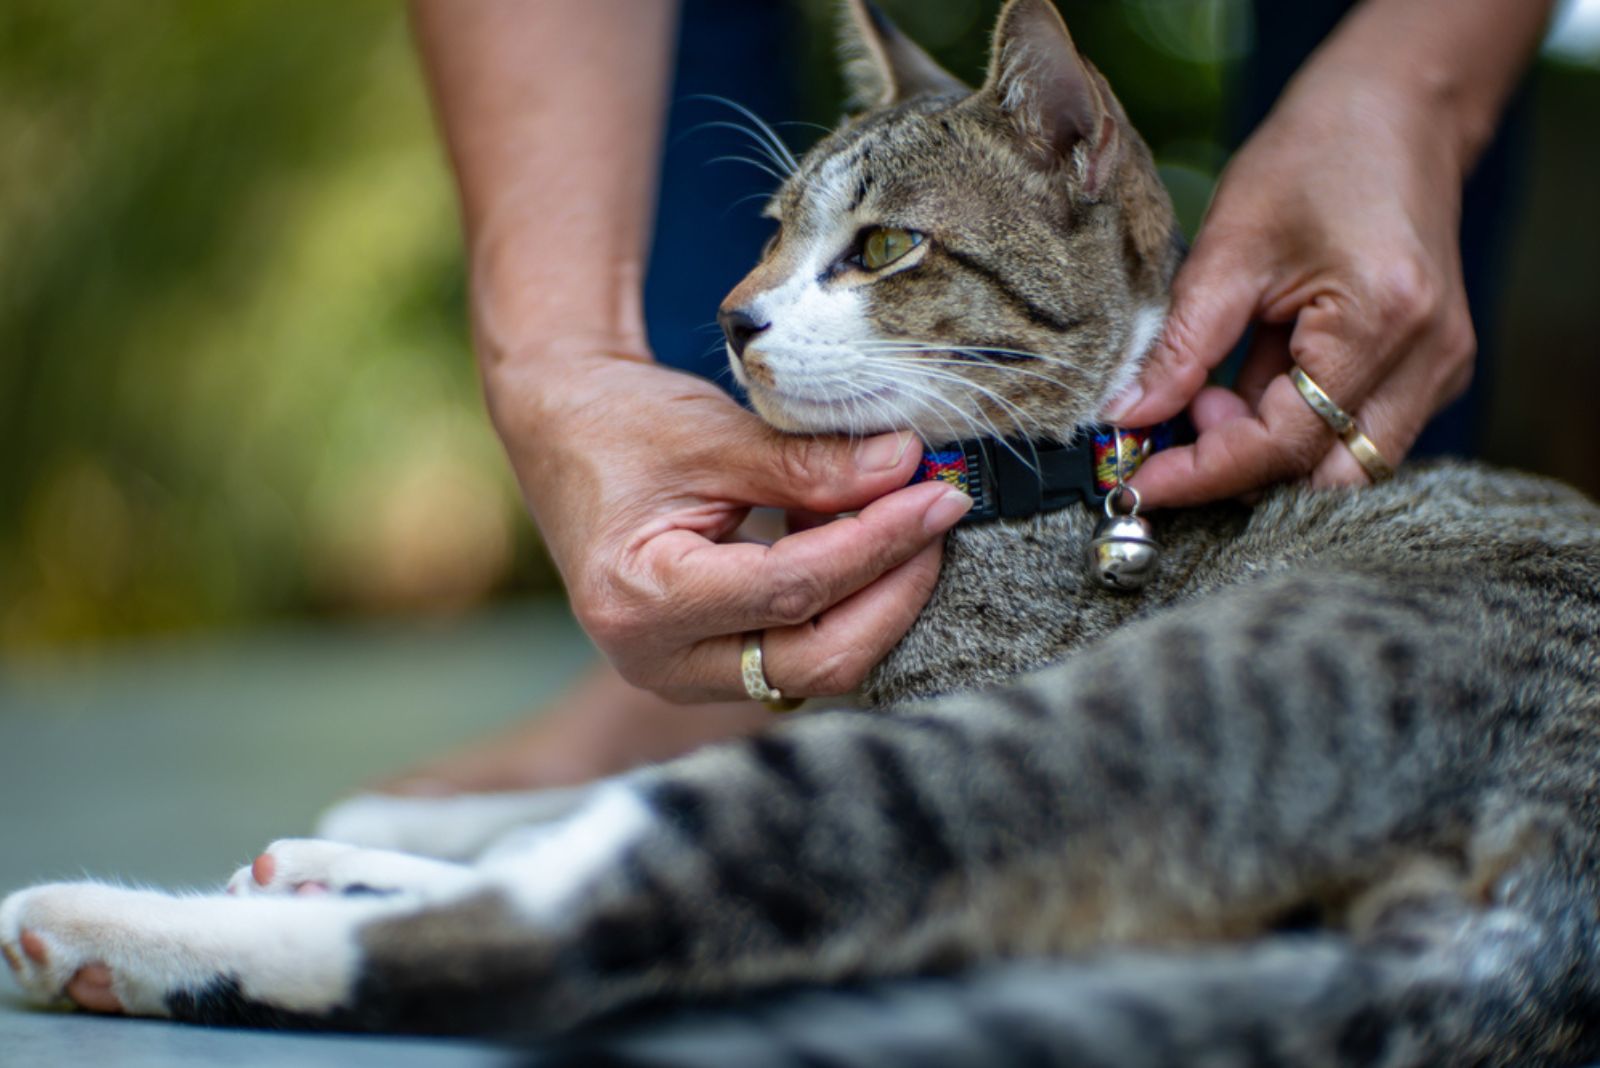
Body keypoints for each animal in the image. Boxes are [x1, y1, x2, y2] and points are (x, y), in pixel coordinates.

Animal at [3, 4, 1600, 1061]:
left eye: (886, 247)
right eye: (774, 228)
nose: (733, 315)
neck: (1051, 475)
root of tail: (1549, 913)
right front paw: (411, 816)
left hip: (1089, 728)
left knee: (588, 932)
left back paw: (92, 930)